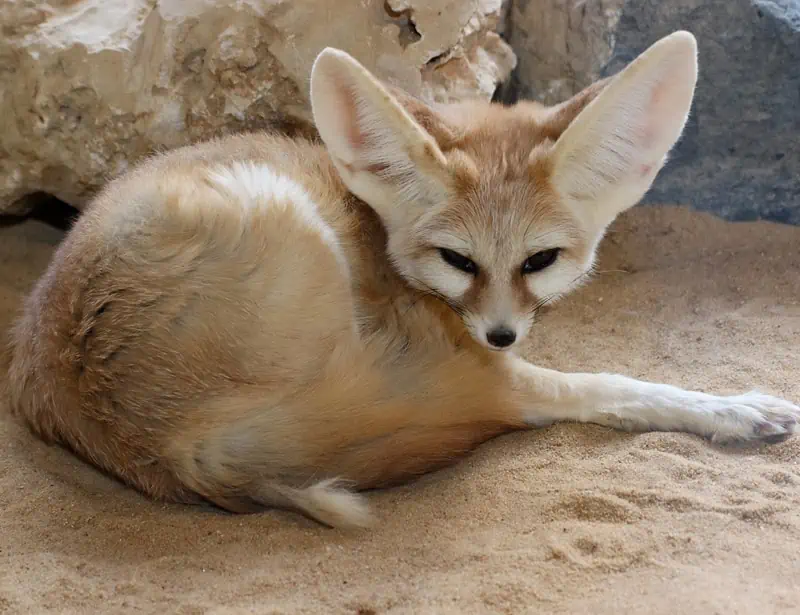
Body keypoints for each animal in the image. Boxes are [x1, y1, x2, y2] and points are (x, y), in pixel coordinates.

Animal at [4, 31, 799, 528]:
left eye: (539, 261)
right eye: (459, 261)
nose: (500, 333)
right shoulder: (486, 361)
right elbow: (620, 386)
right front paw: (730, 408)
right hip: (289, 219)